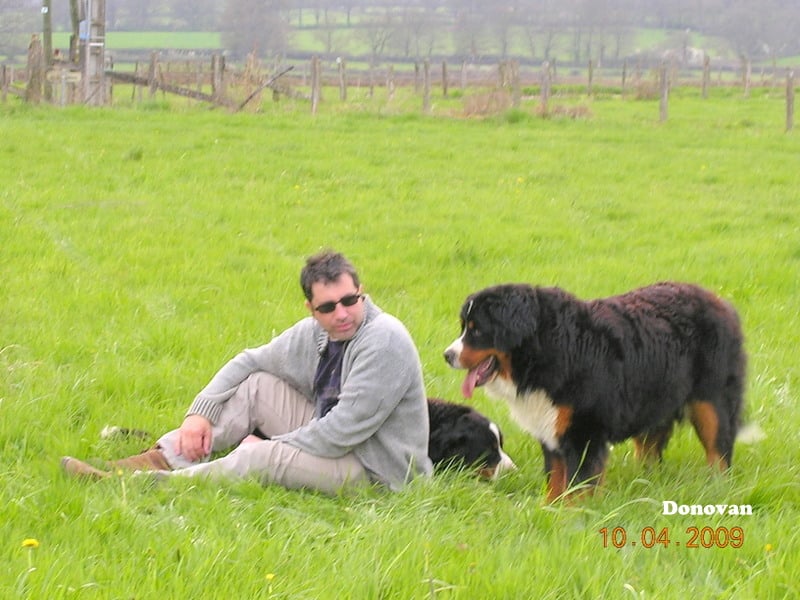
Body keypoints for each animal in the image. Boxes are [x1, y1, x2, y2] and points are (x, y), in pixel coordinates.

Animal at [444, 282, 746, 502]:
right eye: (463, 328)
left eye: (477, 331)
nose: (447, 355)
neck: (550, 350)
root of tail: (721, 302)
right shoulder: (551, 429)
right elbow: (555, 481)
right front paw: (549, 510)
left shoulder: (583, 431)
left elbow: (578, 484)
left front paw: (572, 518)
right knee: (650, 452)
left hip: (712, 405)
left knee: (719, 452)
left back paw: (717, 488)